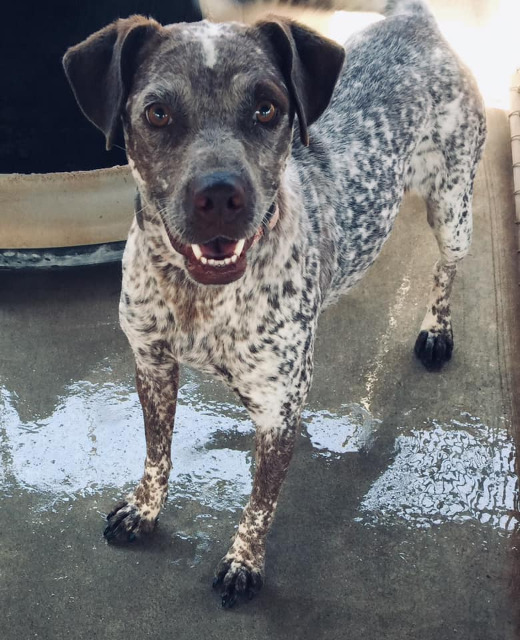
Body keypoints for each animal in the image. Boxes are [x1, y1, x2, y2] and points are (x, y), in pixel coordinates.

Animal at [63, 0, 486, 608]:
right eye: (157, 113)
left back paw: (436, 330)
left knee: (445, 270)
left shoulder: (276, 411)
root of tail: (415, 21)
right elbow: (156, 452)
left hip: (453, 212)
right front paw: (145, 509)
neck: (200, 298)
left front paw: (244, 562)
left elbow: (260, 505)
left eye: (267, 108)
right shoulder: (152, 366)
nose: (220, 196)